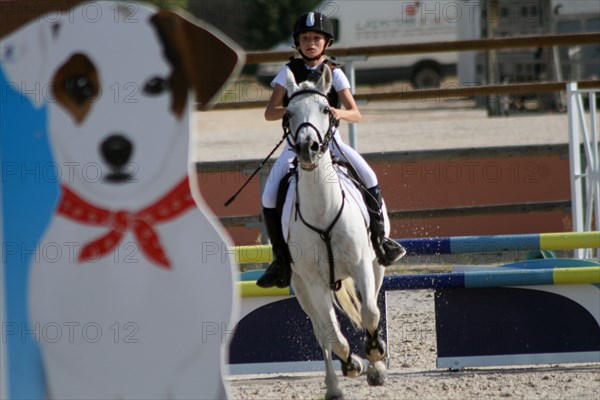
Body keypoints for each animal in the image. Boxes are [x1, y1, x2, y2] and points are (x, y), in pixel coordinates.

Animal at [284, 67, 386, 398]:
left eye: (326, 109)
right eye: (288, 113)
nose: (307, 148)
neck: (323, 209)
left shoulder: (362, 265)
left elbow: (370, 313)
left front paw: (374, 356)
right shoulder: (314, 283)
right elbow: (333, 335)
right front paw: (352, 363)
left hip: (375, 266)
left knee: (370, 306)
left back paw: (375, 365)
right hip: (303, 288)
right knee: (322, 331)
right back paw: (334, 384)